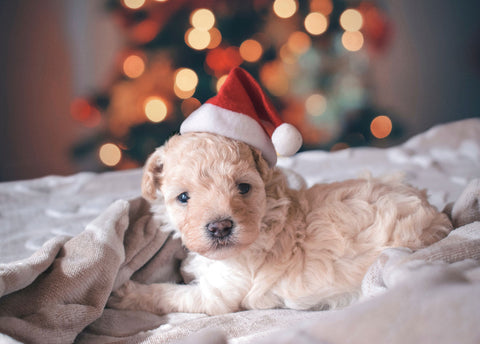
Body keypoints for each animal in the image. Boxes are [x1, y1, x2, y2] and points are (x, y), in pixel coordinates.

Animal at [108, 132, 450, 314]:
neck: (264, 219)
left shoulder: (217, 296)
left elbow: (169, 294)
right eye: (183, 197)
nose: (220, 227)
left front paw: (126, 293)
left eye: (243, 188)